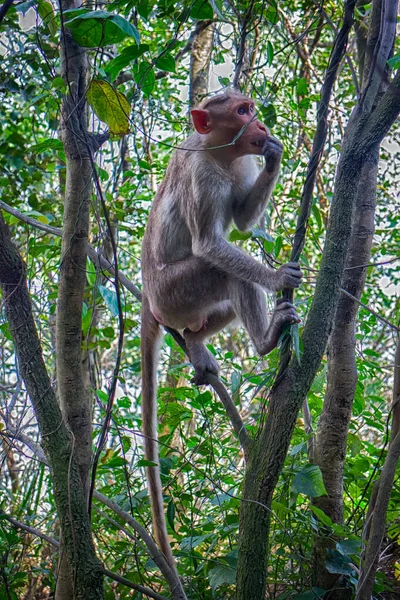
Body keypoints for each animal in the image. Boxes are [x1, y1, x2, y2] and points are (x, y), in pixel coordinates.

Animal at [139, 89, 302, 572]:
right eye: (242, 111)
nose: (262, 125)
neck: (221, 152)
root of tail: (147, 296)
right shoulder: (201, 174)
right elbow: (212, 245)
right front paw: (276, 277)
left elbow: (244, 222)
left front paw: (275, 154)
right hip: (173, 294)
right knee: (223, 272)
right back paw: (266, 341)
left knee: (224, 300)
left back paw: (195, 343)